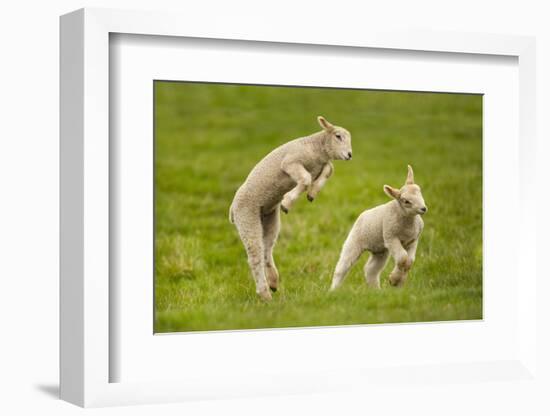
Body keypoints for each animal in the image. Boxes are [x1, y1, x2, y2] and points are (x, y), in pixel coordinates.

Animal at [230, 115, 354, 300]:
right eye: (338, 136)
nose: (349, 155)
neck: (316, 148)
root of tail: (232, 209)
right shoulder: (290, 162)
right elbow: (306, 178)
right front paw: (287, 202)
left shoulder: (321, 165)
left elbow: (328, 170)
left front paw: (312, 194)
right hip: (246, 216)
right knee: (255, 256)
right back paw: (265, 294)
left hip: (269, 218)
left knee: (266, 250)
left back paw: (273, 282)